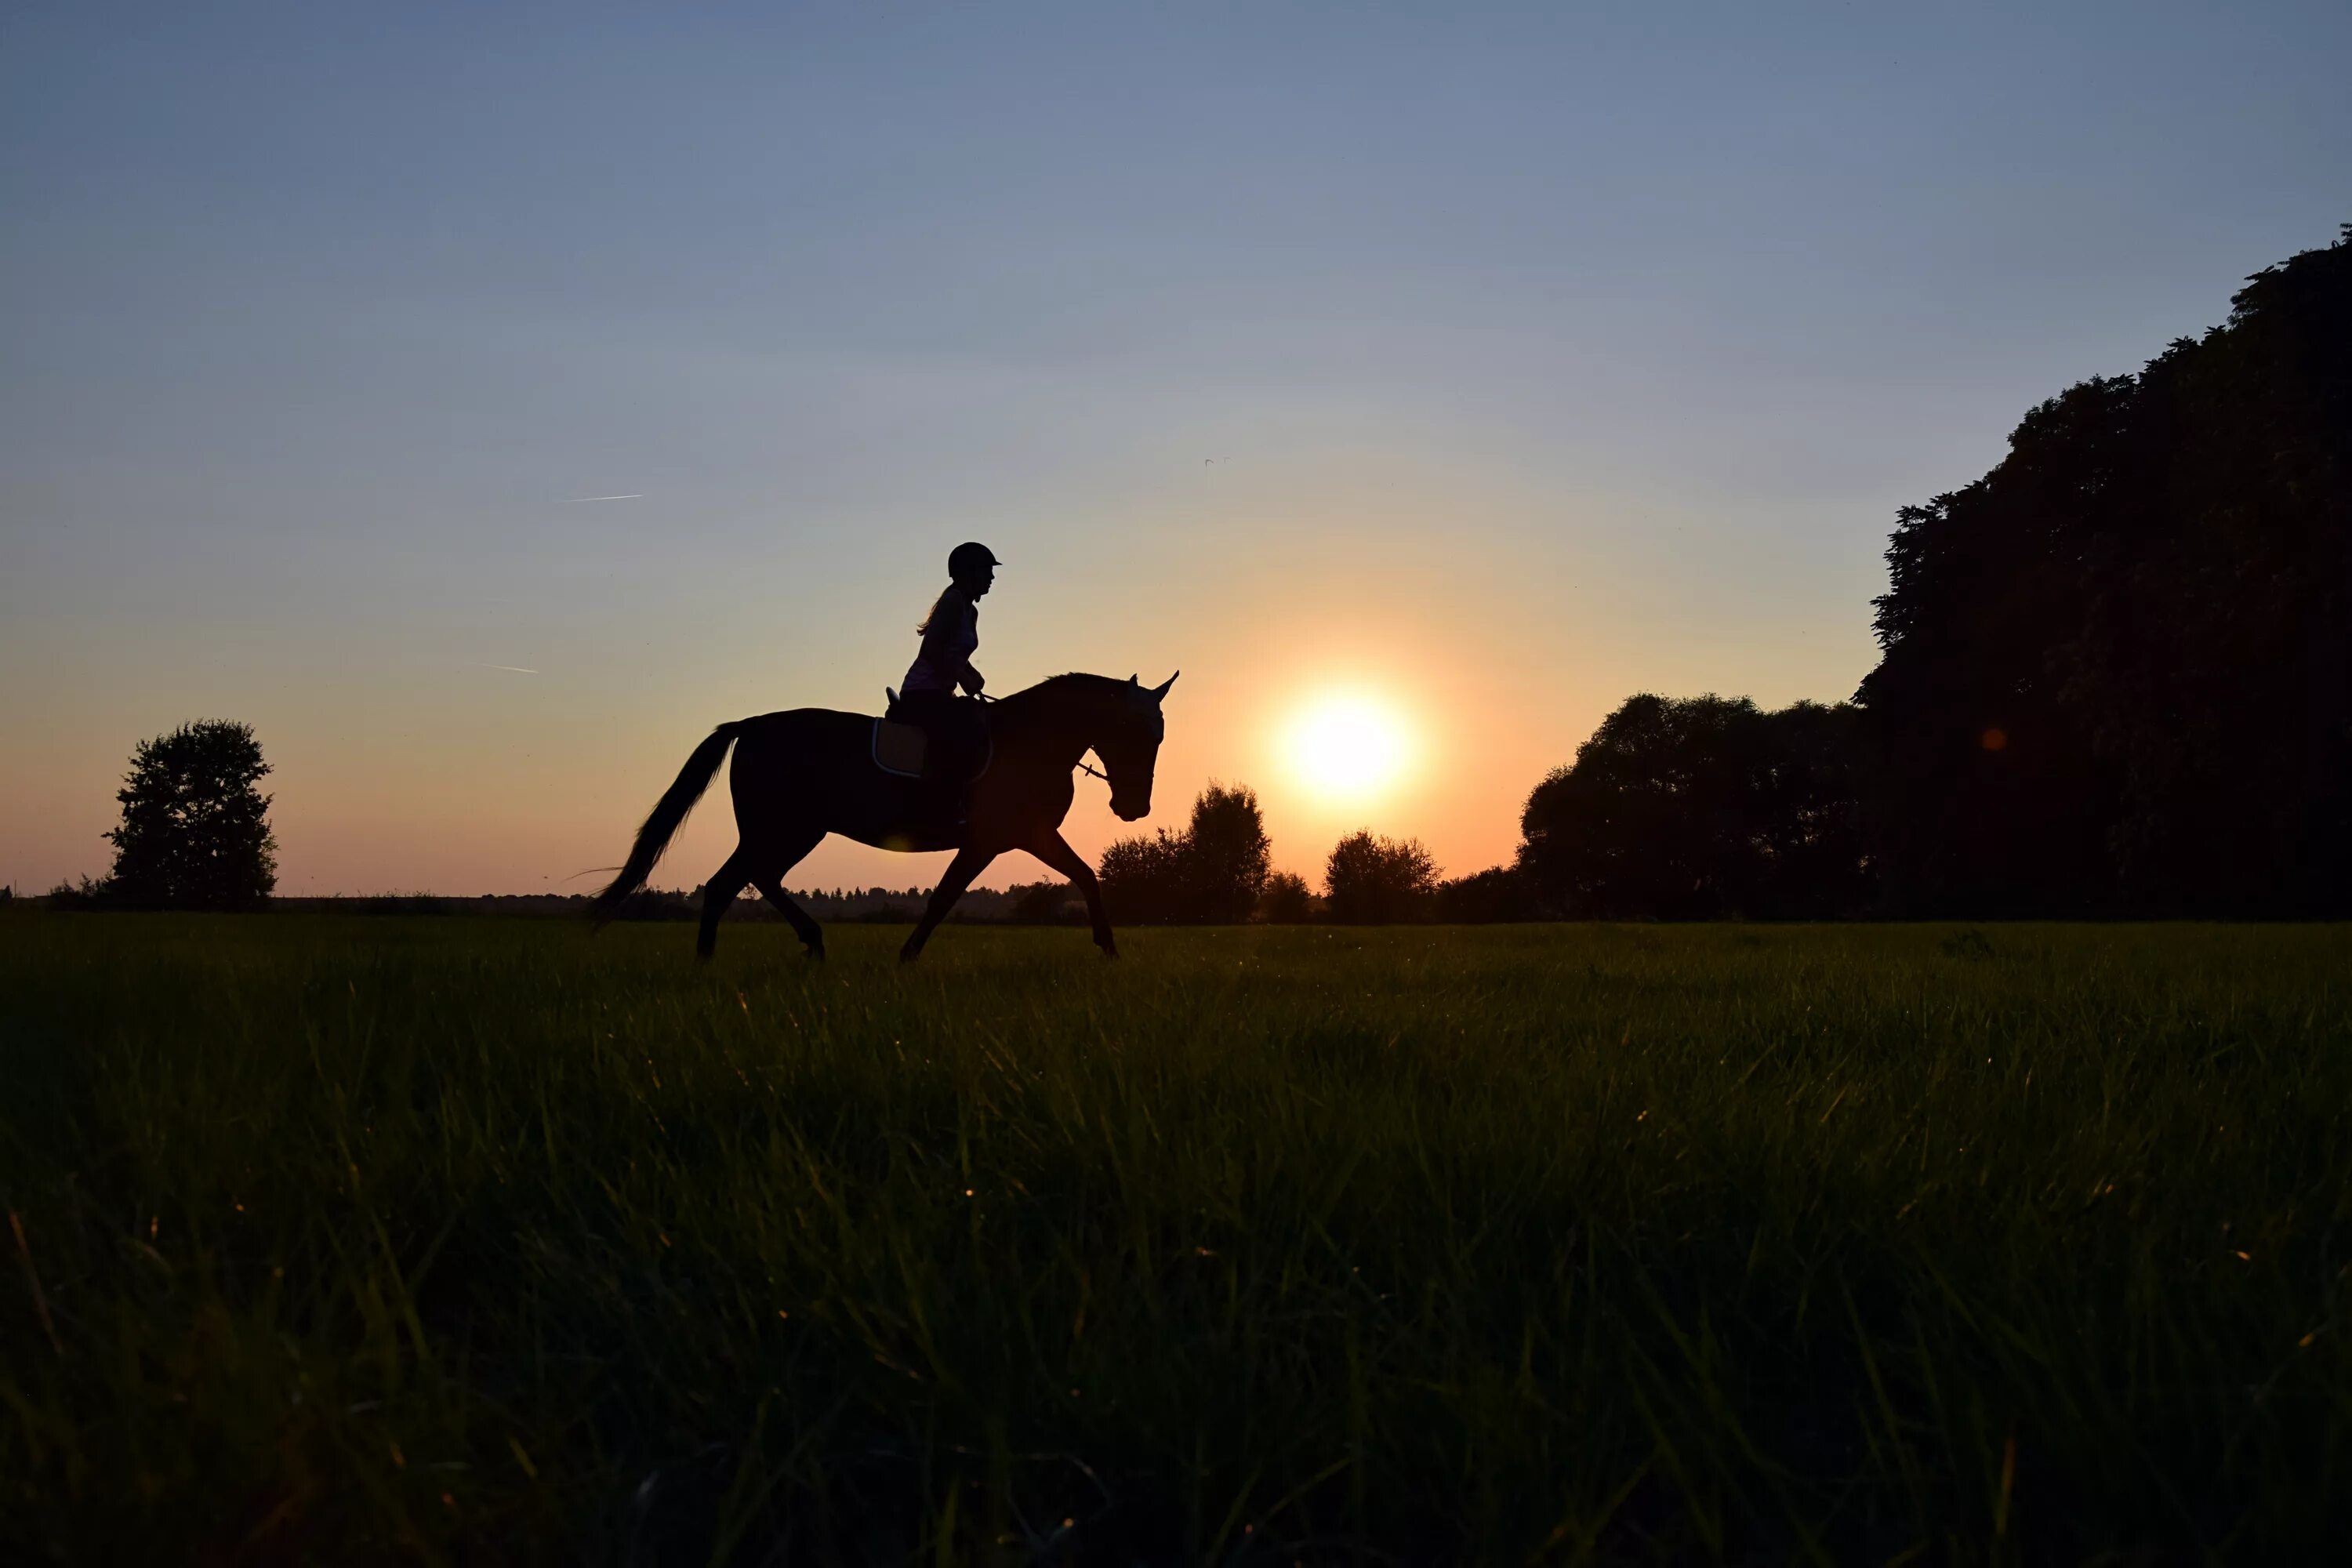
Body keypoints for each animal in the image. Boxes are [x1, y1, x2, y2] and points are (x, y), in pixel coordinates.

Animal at [588, 672, 1176, 964]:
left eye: (1160, 736)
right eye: (1133, 731)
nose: (1133, 808)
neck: (1031, 741)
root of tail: (751, 725)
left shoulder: (1030, 835)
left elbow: (1086, 876)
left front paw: (1108, 948)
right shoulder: (994, 839)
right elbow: (944, 898)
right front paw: (907, 956)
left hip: (788, 829)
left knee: (745, 880)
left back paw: (776, 949)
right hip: (785, 827)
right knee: (734, 882)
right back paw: (727, 959)